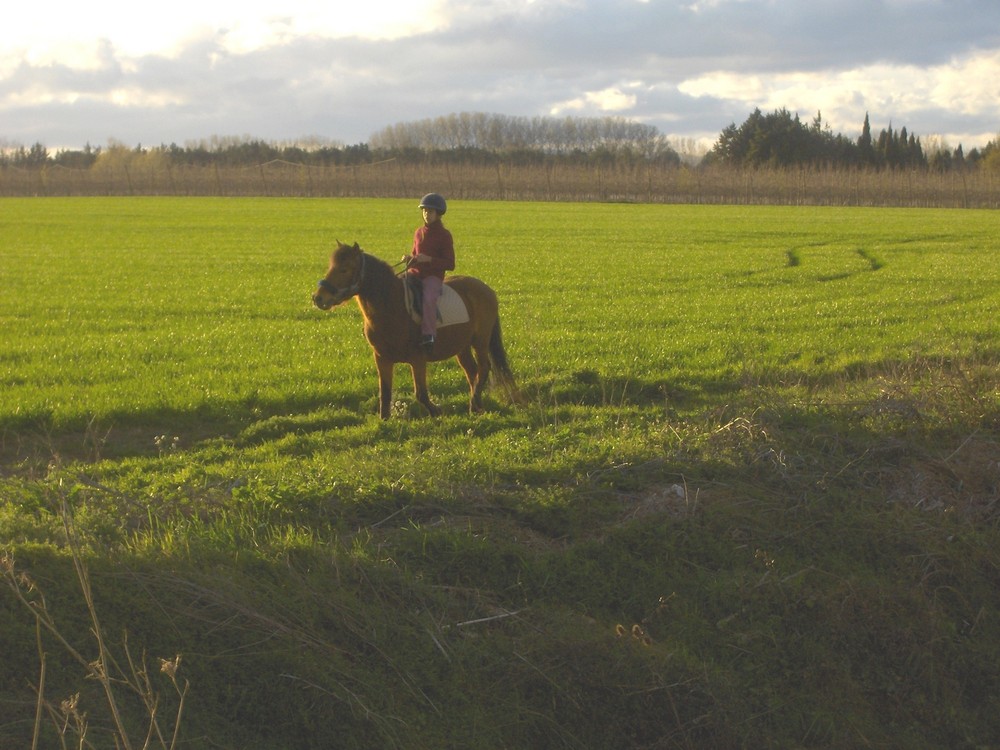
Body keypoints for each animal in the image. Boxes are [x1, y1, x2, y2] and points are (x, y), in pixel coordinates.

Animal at [312, 242, 520, 420]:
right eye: (331, 266)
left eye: (344, 269)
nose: (318, 297)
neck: (392, 307)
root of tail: (486, 289)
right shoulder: (382, 358)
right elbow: (385, 393)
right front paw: (384, 421)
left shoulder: (418, 358)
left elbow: (420, 393)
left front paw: (437, 412)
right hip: (462, 347)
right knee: (472, 372)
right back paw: (476, 407)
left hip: (480, 340)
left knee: (484, 368)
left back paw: (474, 402)